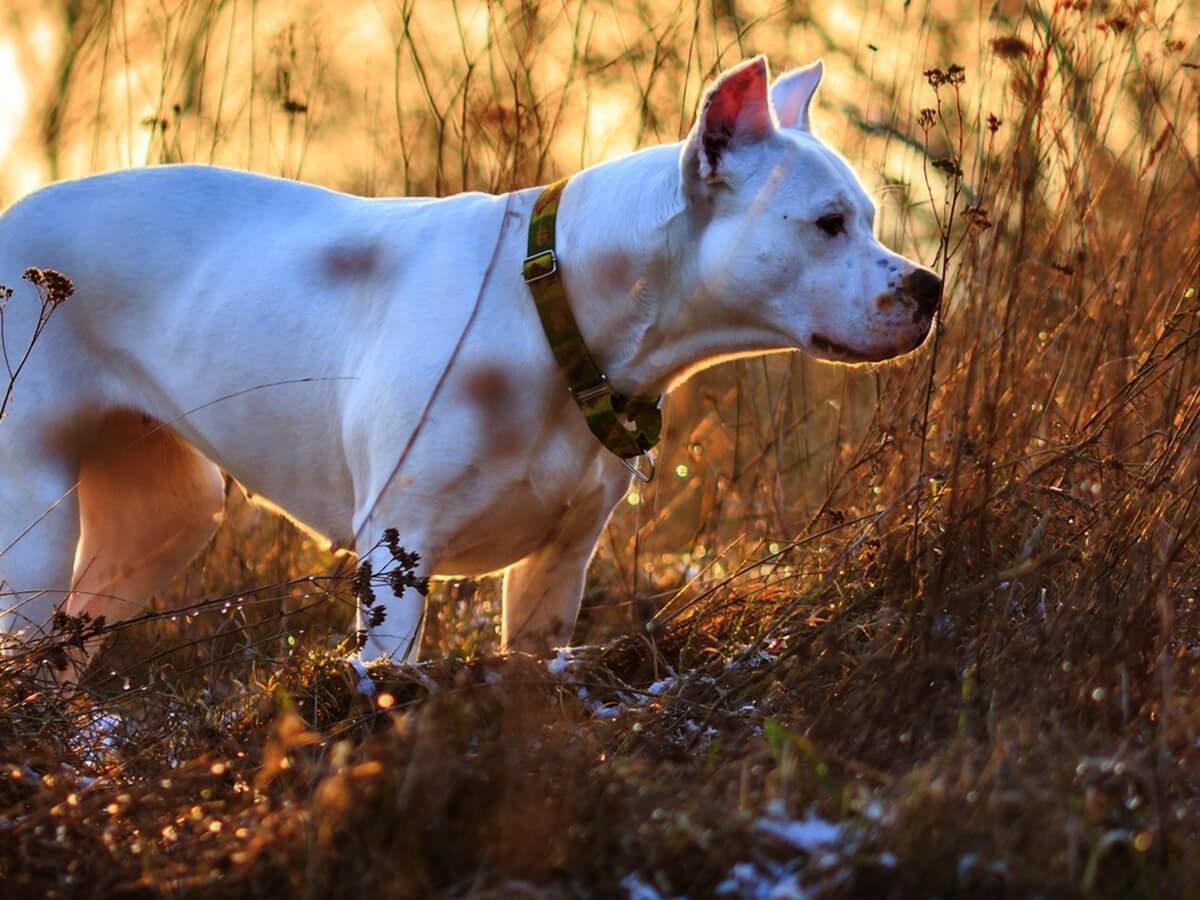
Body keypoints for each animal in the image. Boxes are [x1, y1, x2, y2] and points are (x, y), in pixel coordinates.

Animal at [0, 56, 936, 681]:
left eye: (867, 218)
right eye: (826, 224)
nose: (929, 286)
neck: (555, 313)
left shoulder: (558, 567)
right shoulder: (398, 554)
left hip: (165, 516)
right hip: (33, 521)